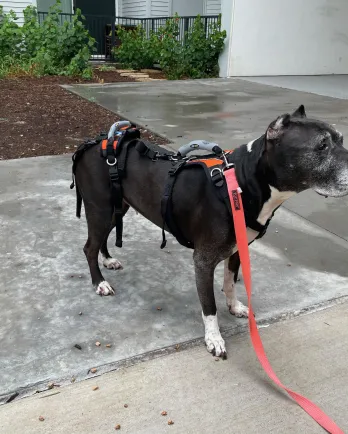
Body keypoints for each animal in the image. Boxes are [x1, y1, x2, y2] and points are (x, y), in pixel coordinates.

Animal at [73, 106, 348, 360]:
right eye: (322, 145)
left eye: (341, 139)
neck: (243, 181)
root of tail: (93, 145)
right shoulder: (203, 261)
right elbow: (209, 306)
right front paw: (214, 339)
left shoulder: (237, 249)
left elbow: (229, 283)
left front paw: (234, 306)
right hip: (100, 209)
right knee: (89, 247)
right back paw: (100, 283)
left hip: (117, 207)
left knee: (101, 239)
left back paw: (108, 259)